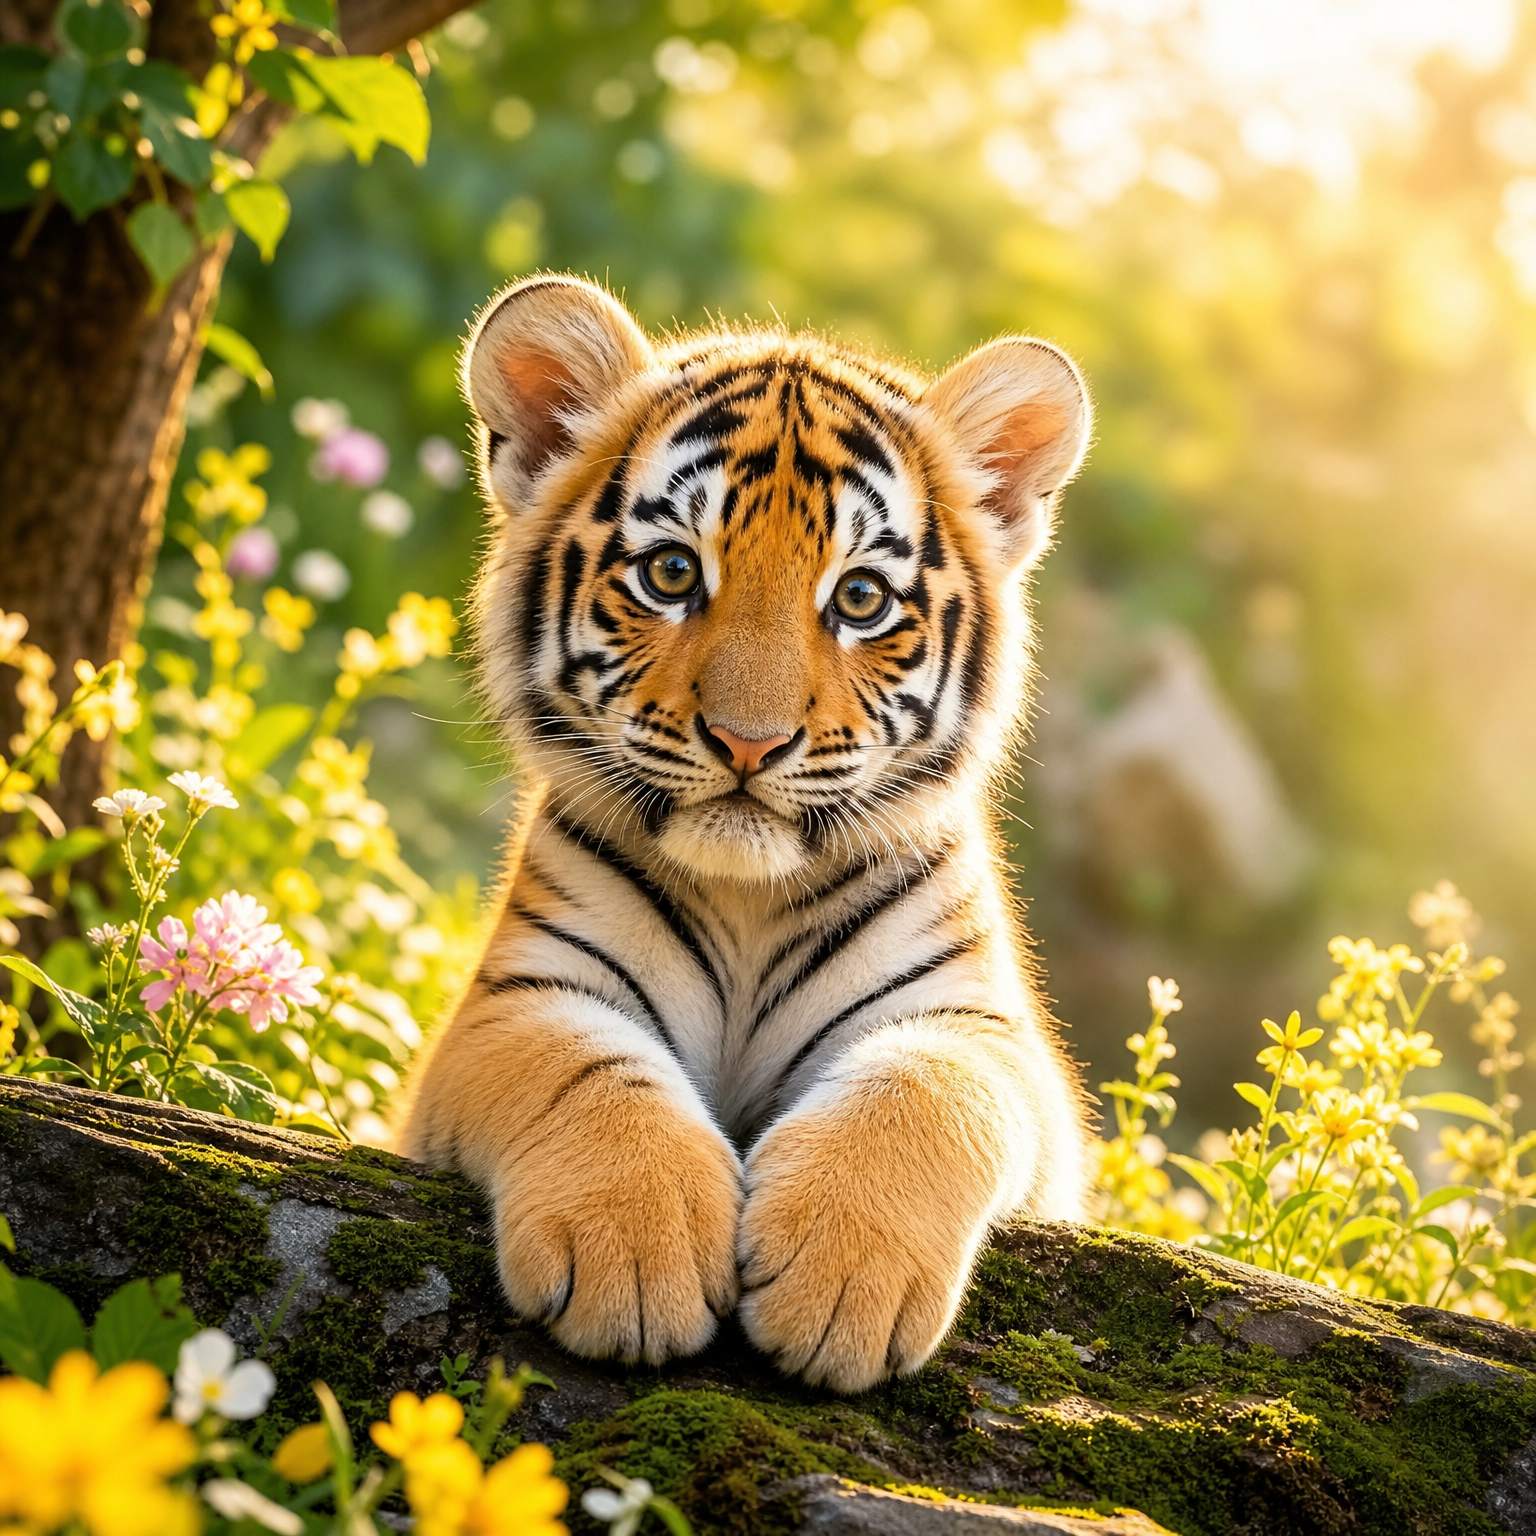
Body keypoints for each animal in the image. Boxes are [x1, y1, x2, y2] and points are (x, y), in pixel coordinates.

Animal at [398, 274, 1093, 1393]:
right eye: (673, 576)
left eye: (860, 598)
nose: (748, 741)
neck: (745, 897)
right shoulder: (518, 998)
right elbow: (586, 1069)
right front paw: (632, 1251)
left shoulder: (981, 1028)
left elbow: (922, 1086)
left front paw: (842, 1280)